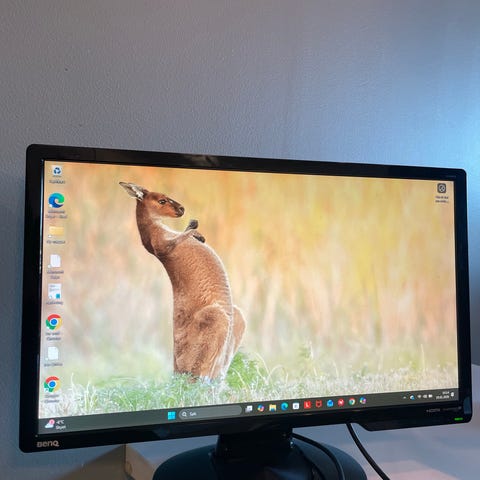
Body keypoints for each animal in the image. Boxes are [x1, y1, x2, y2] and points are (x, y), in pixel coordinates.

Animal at [119, 182, 245, 381]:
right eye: (162, 201)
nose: (182, 209)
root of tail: (176, 373)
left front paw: (195, 229)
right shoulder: (161, 246)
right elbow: (175, 240)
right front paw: (196, 230)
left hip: (236, 319)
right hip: (214, 319)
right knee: (200, 375)